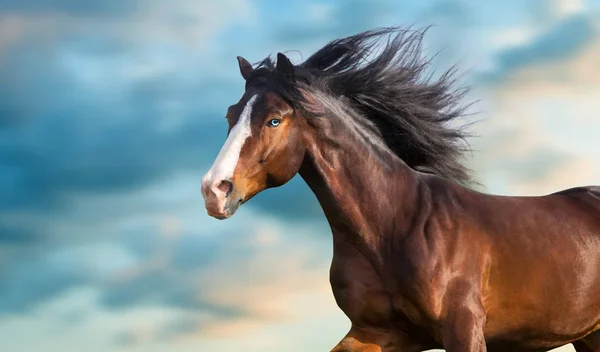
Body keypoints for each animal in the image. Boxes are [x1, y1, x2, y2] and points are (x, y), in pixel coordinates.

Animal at [199, 27, 600, 352]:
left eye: (274, 120)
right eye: (230, 115)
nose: (214, 191)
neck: (395, 226)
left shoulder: (464, 328)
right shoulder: (377, 332)